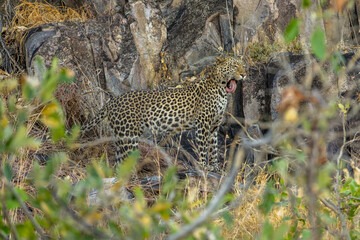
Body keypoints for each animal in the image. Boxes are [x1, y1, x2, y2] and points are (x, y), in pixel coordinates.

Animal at [80, 55, 246, 172]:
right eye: (234, 66)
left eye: (242, 65)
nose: (244, 74)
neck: (221, 90)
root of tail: (112, 102)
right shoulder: (203, 125)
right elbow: (204, 148)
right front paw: (204, 167)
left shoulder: (213, 126)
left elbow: (214, 148)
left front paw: (215, 167)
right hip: (129, 137)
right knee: (126, 161)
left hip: (120, 136)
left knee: (119, 164)